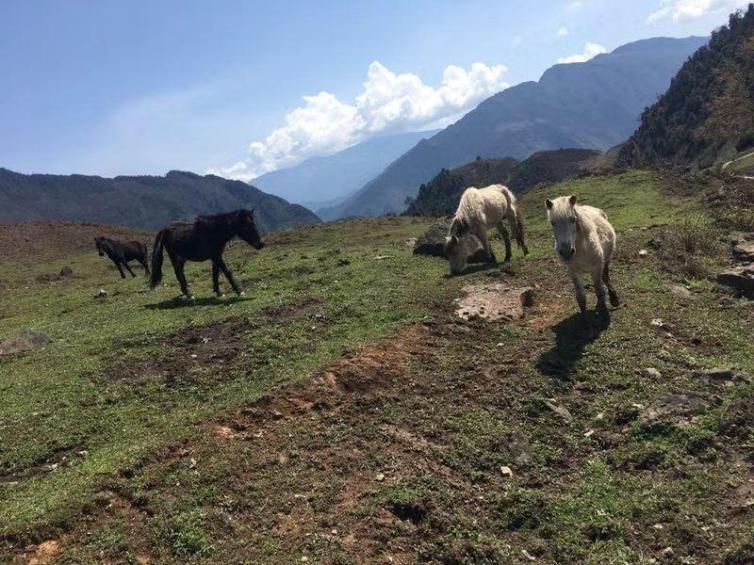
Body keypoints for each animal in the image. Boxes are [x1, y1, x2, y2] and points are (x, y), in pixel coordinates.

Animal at [548, 196, 616, 324]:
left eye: (572, 219)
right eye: (552, 223)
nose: (566, 252)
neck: (580, 248)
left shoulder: (596, 266)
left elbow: (599, 291)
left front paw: (604, 313)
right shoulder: (572, 272)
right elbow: (581, 297)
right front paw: (585, 323)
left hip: (606, 260)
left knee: (605, 278)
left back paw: (614, 299)